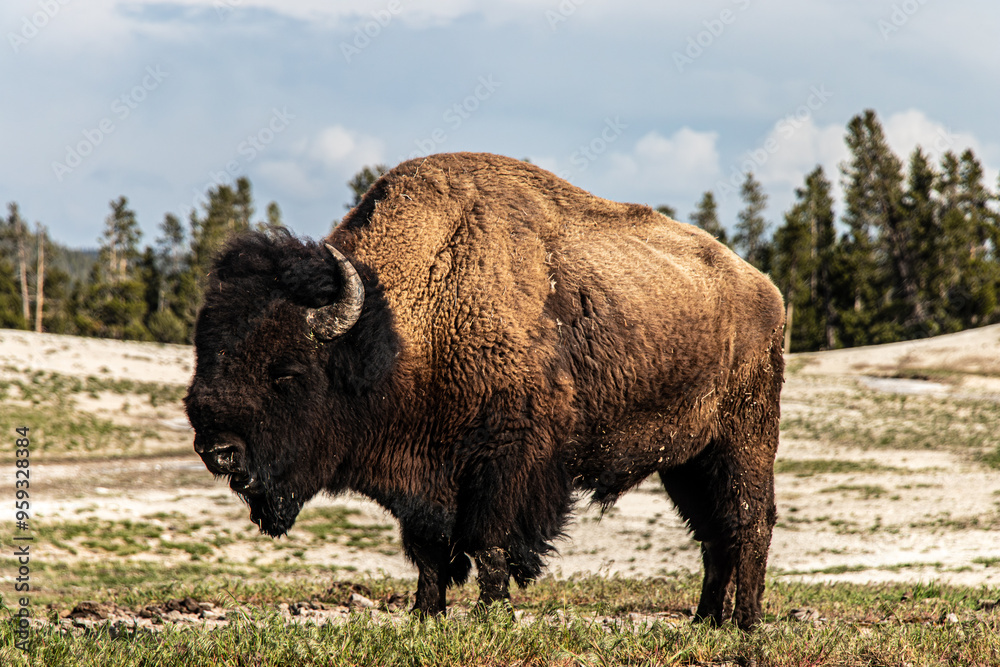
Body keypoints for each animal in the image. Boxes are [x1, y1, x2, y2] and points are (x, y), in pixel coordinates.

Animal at [185, 152, 784, 629]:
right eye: (204, 356)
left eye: (285, 371)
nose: (218, 450)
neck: (400, 327)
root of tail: (764, 286)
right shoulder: (424, 481)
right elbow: (428, 552)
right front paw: (425, 616)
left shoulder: (504, 463)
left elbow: (489, 545)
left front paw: (491, 616)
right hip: (684, 461)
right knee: (714, 535)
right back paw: (705, 622)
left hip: (744, 439)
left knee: (749, 522)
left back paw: (745, 624)